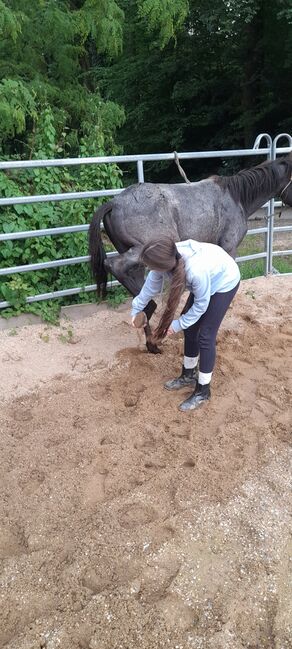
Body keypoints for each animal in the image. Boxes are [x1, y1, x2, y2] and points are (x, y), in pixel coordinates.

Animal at [89, 154, 292, 352]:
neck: (236, 197)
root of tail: (114, 203)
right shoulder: (229, 248)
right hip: (141, 251)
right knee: (114, 265)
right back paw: (150, 315)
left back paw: (149, 332)